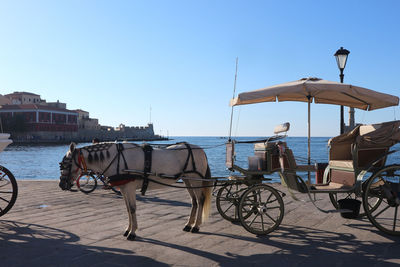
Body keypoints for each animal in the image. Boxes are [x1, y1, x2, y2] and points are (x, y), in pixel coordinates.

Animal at [59, 142, 212, 241]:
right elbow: (128, 209)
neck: (117, 158)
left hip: (195, 179)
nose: (61, 184)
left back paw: (196, 226)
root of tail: (201, 150)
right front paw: (128, 229)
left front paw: (132, 232)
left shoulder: (130, 188)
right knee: (194, 201)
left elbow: (132, 209)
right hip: (187, 180)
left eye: (66, 163)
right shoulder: (124, 189)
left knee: (200, 200)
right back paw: (188, 224)